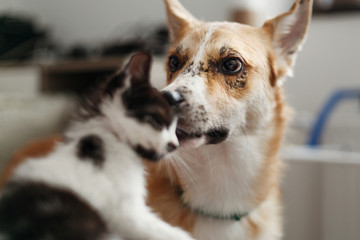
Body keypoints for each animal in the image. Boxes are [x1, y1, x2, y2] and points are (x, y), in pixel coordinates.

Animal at [0, 52, 194, 240]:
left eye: (175, 128)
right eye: (156, 121)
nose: (174, 145)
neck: (110, 138)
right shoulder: (128, 214)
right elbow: (174, 234)